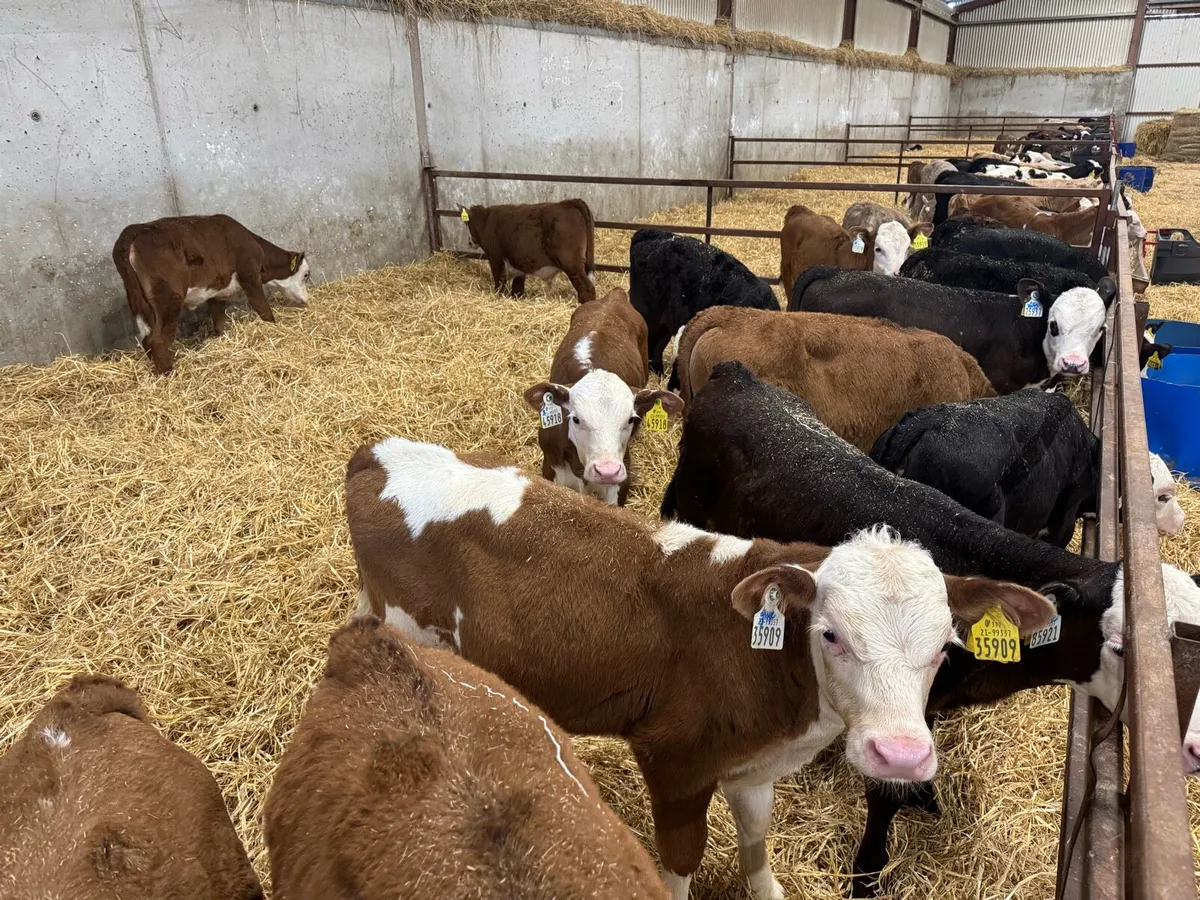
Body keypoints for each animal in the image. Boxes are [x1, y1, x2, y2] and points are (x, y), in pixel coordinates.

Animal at [113, 214, 310, 374]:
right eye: (306, 275)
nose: (307, 300)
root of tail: (134, 231)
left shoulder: (217, 292)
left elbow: (219, 323)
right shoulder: (250, 277)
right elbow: (265, 311)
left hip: (141, 304)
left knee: (146, 339)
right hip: (168, 299)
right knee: (158, 340)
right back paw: (169, 374)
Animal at [345, 437, 1053, 900]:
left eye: (944, 647)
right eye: (830, 635)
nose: (900, 755)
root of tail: (378, 450)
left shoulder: (753, 770)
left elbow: (756, 851)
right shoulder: (675, 761)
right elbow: (681, 864)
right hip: (407, 626)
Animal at [460, 199, 596, 304]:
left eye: (468, 223)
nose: (469, 242)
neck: (487, 221)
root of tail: (568, 203)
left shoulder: (496, 257)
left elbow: (500, 282)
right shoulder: (518, 262)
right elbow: (517, 288)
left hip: (572, 264)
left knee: (588, 288)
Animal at [524, 287, 681, 506]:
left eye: (630, 419)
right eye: (576, 419)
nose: (607, 471)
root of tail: (615, 295)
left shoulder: (621, 479)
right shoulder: (550, 468)